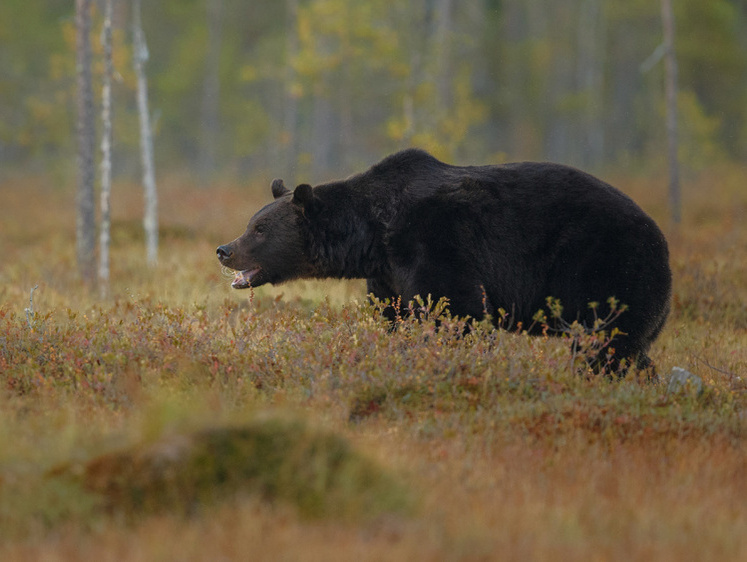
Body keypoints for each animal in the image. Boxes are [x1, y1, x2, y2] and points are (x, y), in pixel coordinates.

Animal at [216, 149, 672, 374]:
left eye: (259, 229)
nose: (224, 249)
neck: (373, 234)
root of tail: (661, 238)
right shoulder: (388, 274)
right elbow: (398, 314)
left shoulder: (435, 241)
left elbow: (457, 310)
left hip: (608, 268)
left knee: (608, 341)